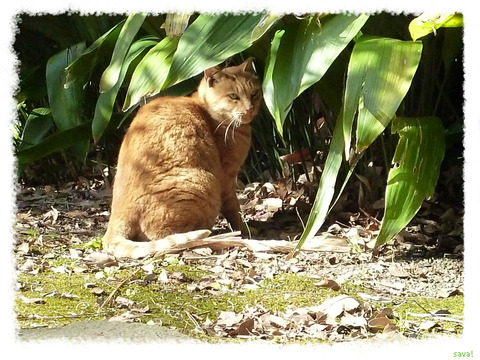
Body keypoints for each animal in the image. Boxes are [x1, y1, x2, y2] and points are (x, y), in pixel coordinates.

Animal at [101, 57, 262, 258]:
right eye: (233, 96)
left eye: (254, 93)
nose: (250, 108)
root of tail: (117, 214)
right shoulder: (226, 178)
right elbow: (235, 210)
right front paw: (246, 230)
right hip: (204, 183)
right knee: (172, 238)